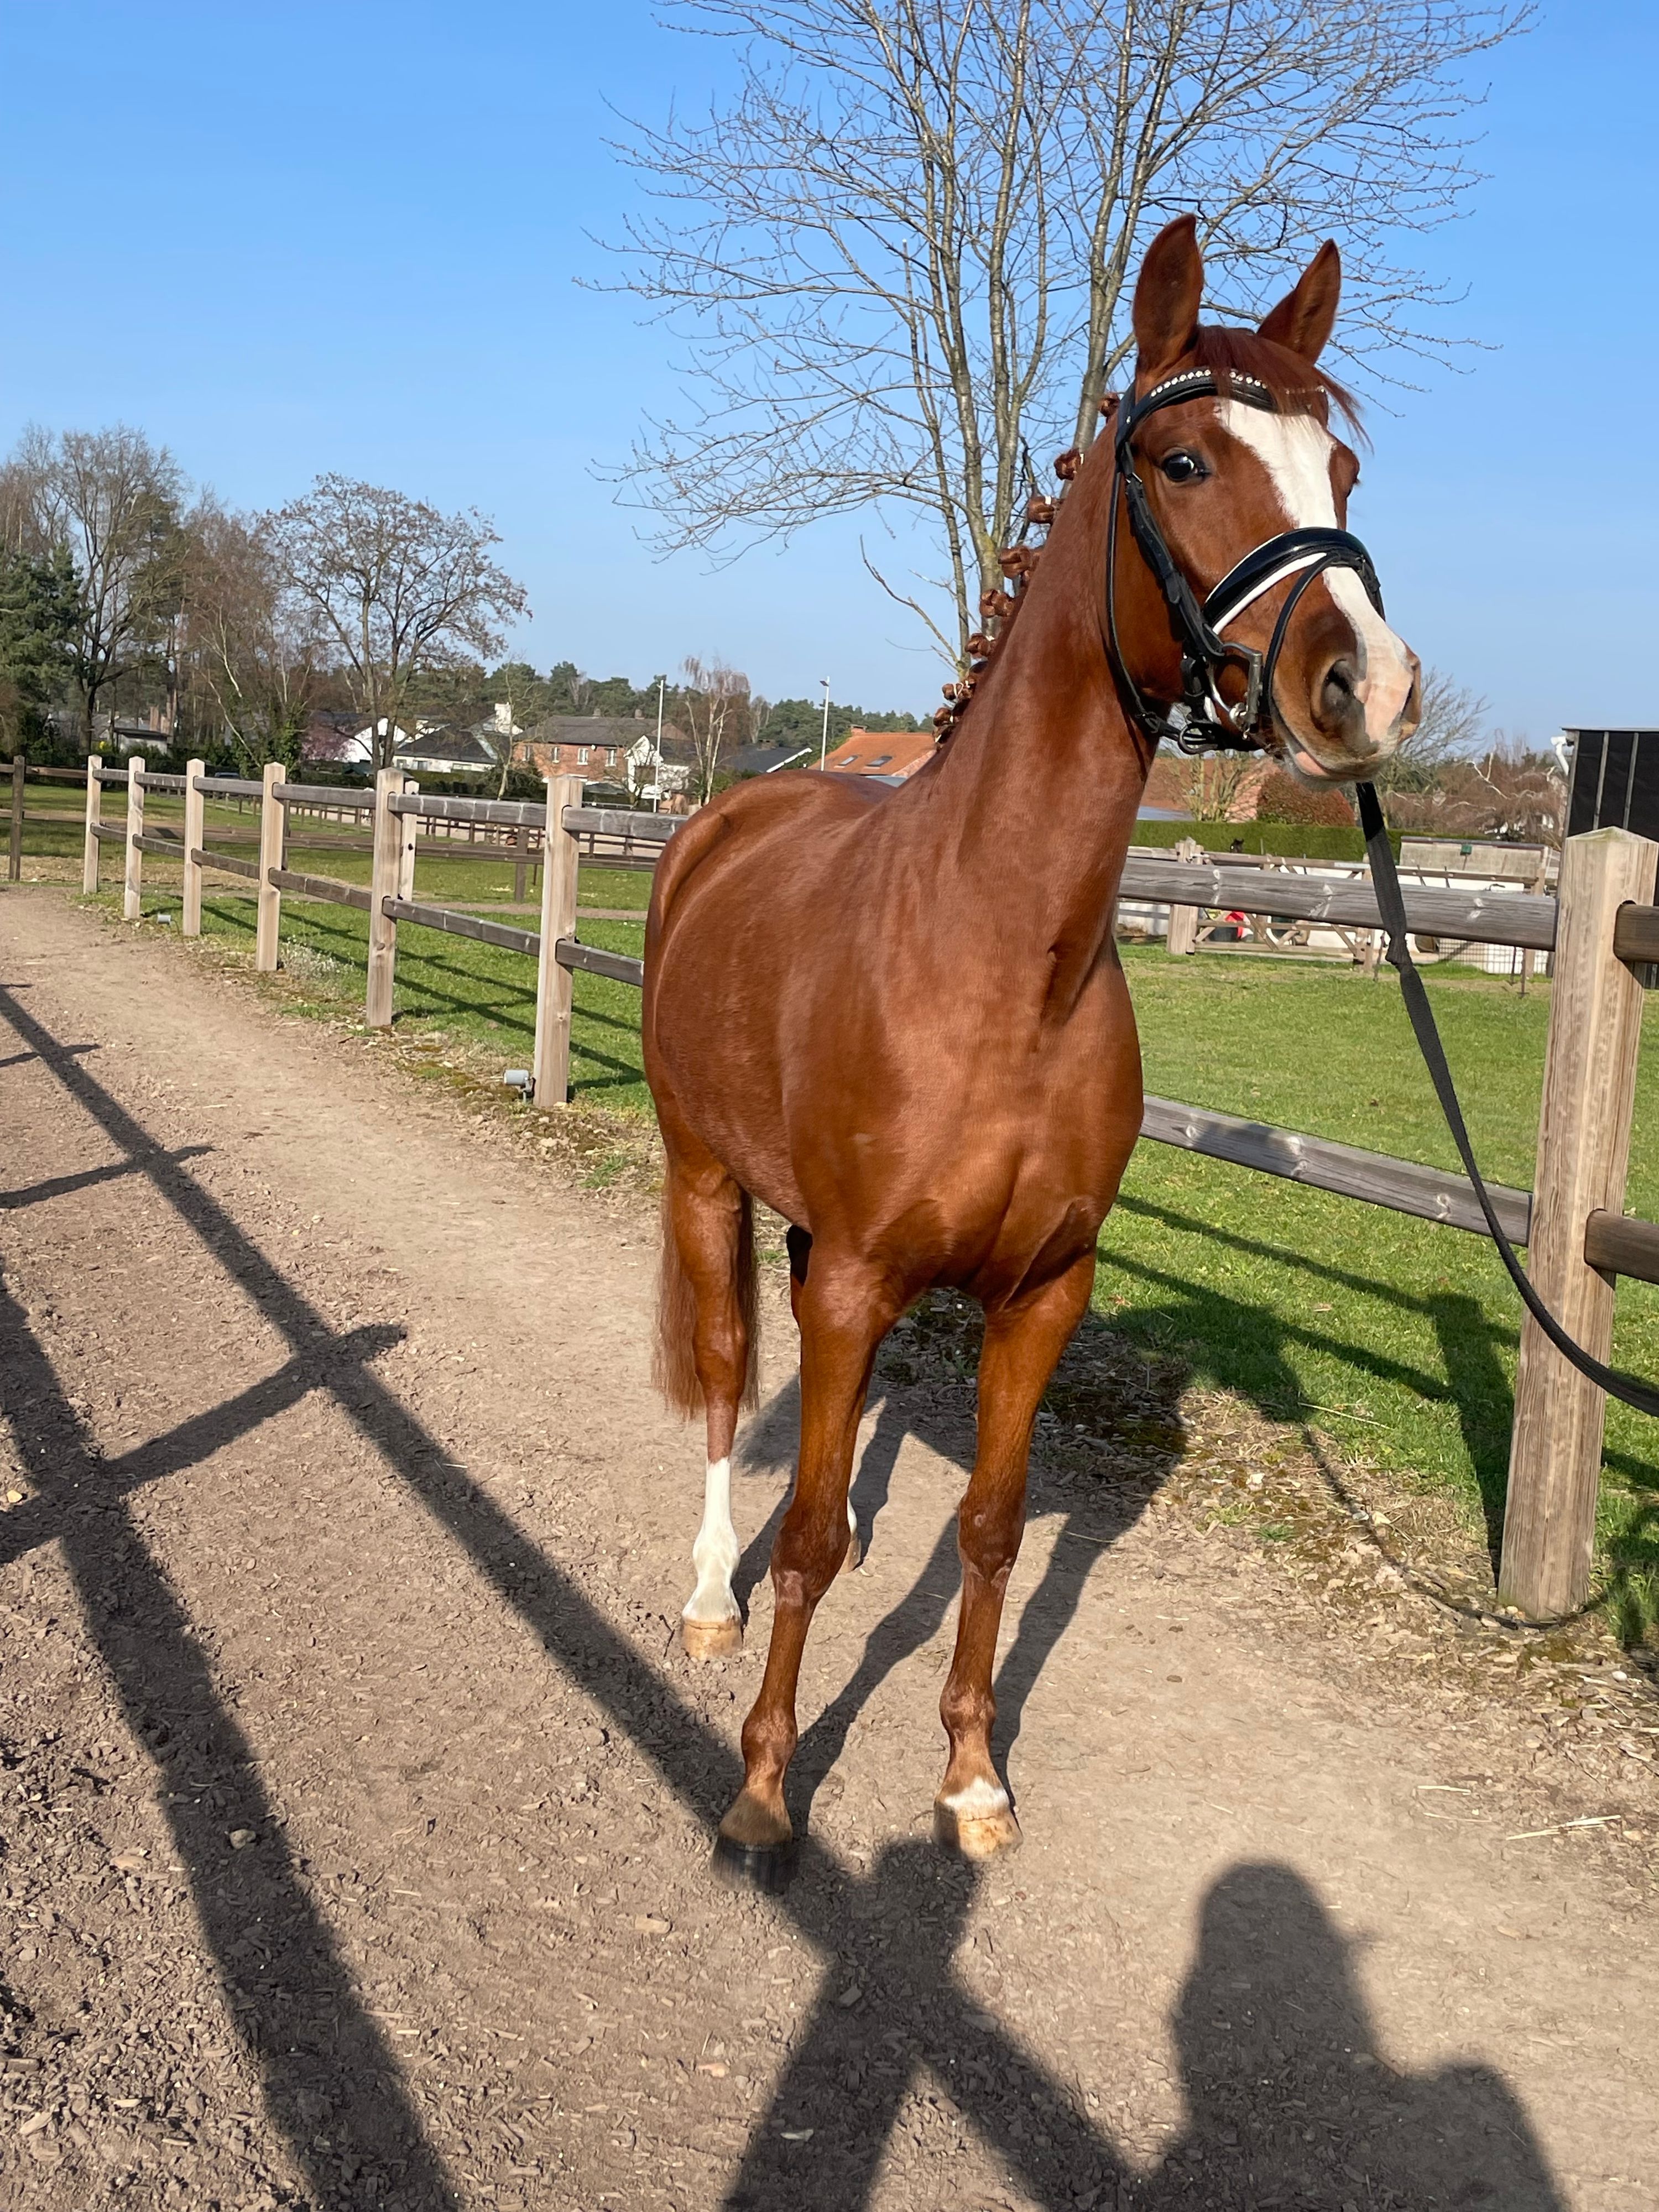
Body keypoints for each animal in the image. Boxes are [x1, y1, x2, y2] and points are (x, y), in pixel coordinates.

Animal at [641, 214, 1420, 1884]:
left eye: (1342, 466)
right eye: (1184, 459)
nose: (1367, 689)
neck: (999, 959)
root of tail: (723, 821)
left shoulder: (1041, 1294)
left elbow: (991, 1534)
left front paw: (970, 1777)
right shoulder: (860, 1273)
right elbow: (803, 1538)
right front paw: (764, 1784)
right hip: (700, 1180)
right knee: (733, 1383)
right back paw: (707, 1595)